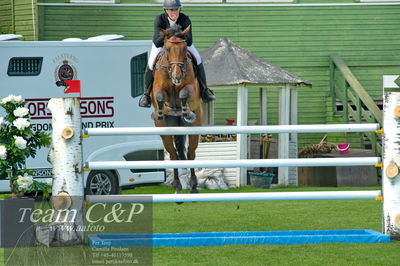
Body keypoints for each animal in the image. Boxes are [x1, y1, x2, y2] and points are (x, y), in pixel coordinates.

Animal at [150, 25, 202, 194]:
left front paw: (186, 112)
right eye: (167, 48)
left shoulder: (191, 88)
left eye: (185, 48)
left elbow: (184, 93)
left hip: (194, 128)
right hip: (165, 132)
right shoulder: (157, 89)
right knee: (173, 154)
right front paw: (159, 113)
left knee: (191, 153)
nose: (177, 76)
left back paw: (193, 186)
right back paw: (177, 185)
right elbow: (159, 96)